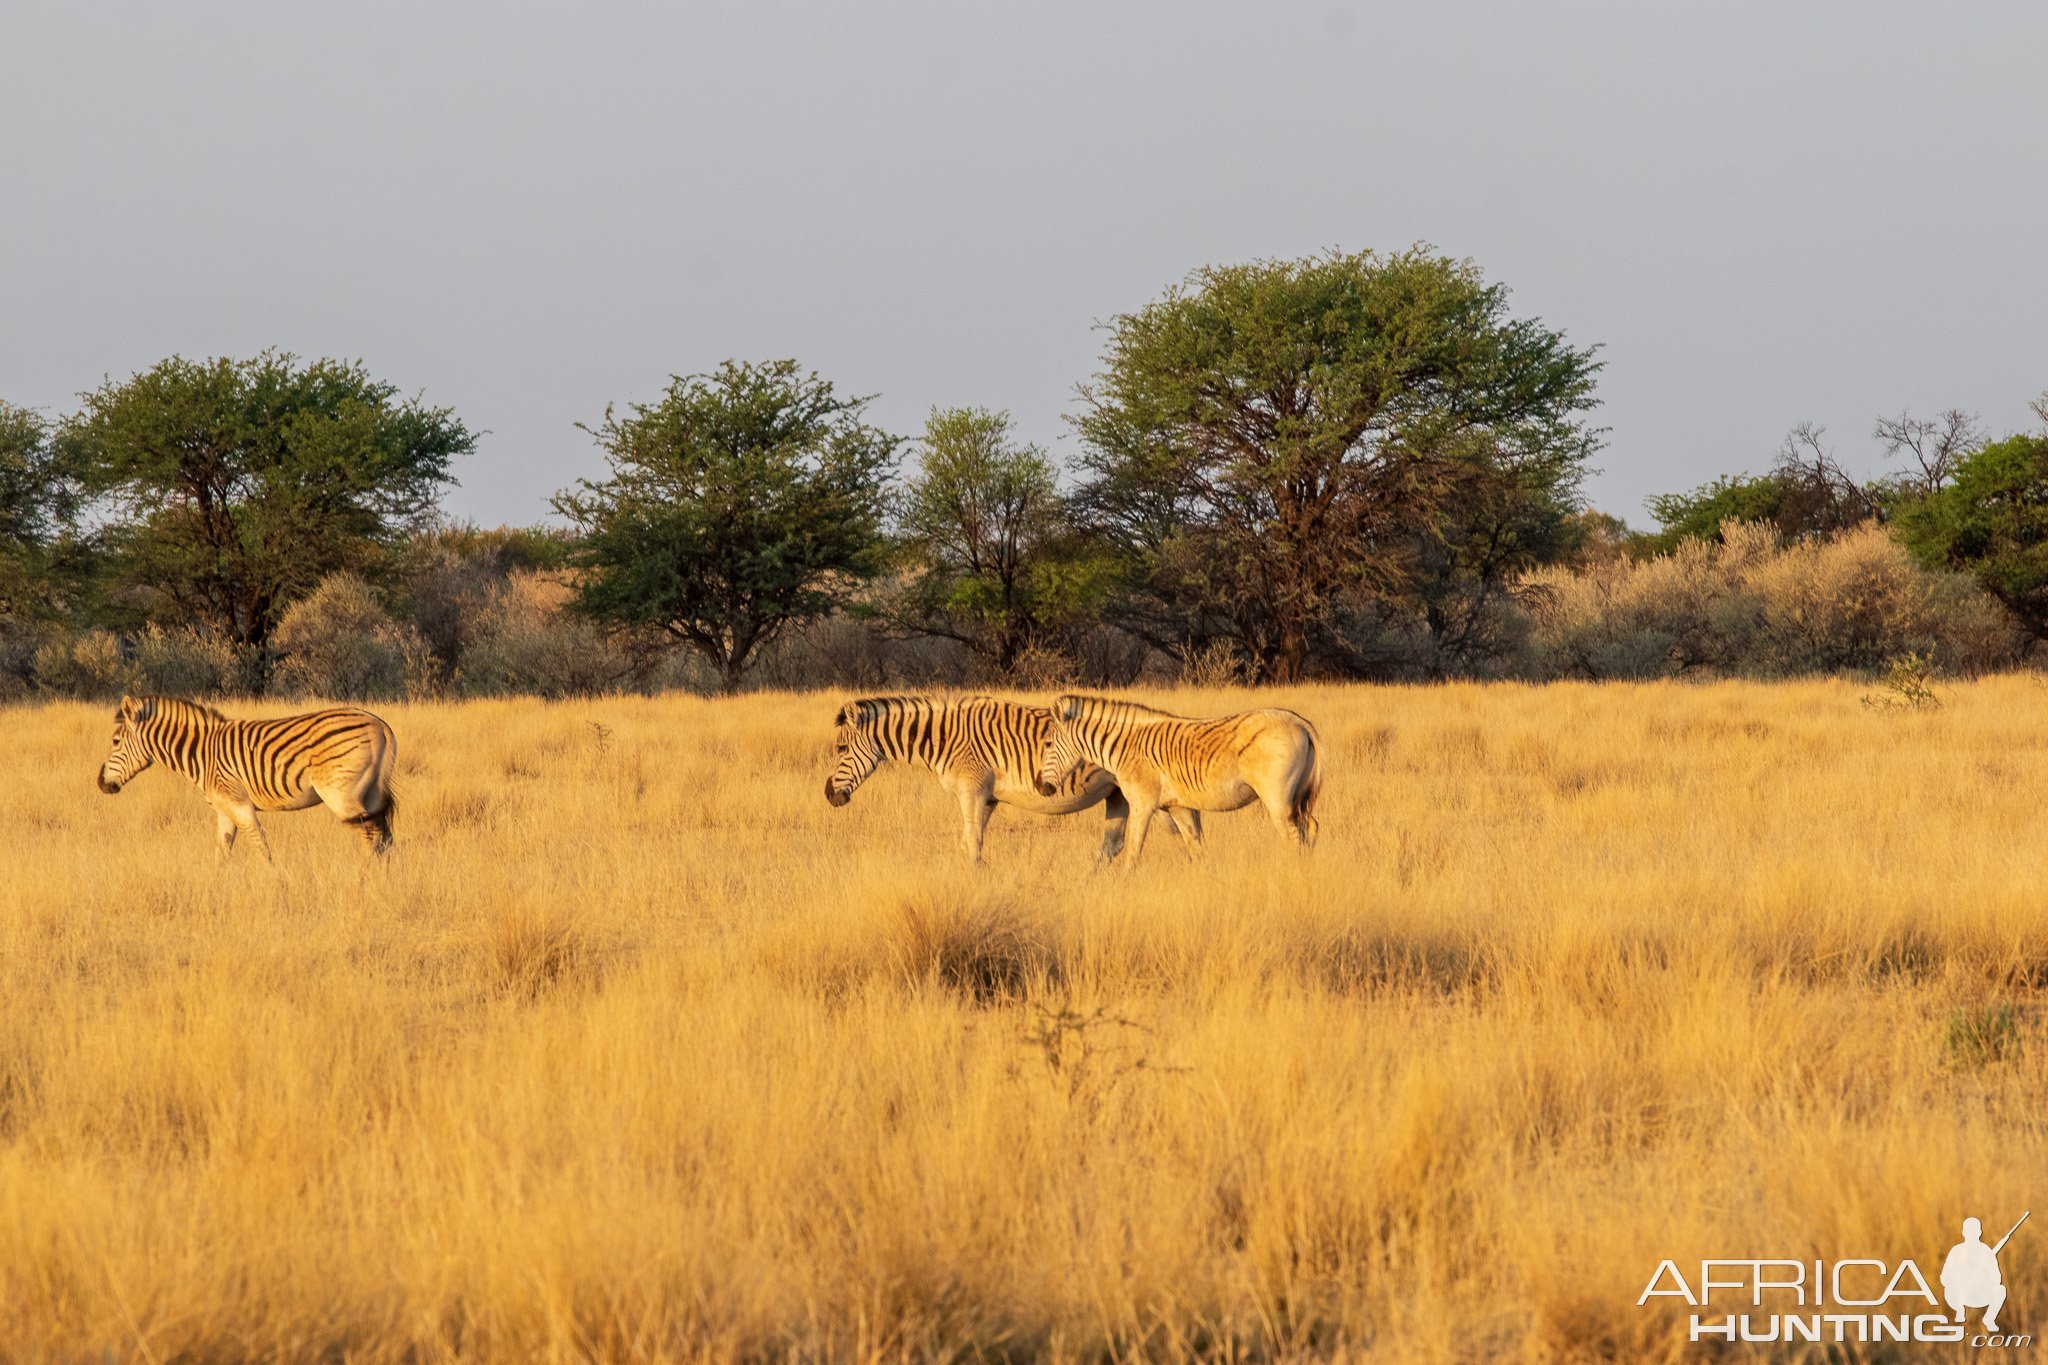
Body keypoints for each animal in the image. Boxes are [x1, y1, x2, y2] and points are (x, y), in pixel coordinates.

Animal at [96, 699, 399, 859]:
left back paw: (363, 882)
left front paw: (276, 884)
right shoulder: (223, 809)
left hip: (341, 794)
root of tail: (380, 724)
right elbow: (222, 851)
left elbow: (260, 845)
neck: (202, 754)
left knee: (371, 837)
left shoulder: (238, 803)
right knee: (385, 837)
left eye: (115, 741)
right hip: (370, 793)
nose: (101, 783)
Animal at [815, 699, 1196, 859]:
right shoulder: (987, 797)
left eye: (841, 748)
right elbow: (968, 842)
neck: (944, 739)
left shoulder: (971, 791)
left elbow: (972, 843)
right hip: (1117, 794)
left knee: (1183, 831)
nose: (829, 795)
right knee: (1112, 845)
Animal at [1032, 695, 1318, 863]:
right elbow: (1196, 848)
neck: (1126, 748)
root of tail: (1299, 721)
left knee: (1293, 836)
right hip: (1298, 795)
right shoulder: (1178, 806)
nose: (1039, 786)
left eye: (1047, 744)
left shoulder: (1143, 804)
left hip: (1277, 798)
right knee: (1310, 828)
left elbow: (1133, 851)